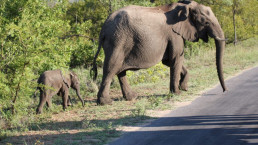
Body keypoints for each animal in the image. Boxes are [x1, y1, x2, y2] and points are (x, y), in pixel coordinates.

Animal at [91, 0, 227, 105]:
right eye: (206, 23)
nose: (225, 91)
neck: (184, 6)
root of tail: (103, 28)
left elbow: (168, 61)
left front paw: (184, 88)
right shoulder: (174, 34)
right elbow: (176, 58)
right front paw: (177, 93)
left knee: (120, 70)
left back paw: (131, 97)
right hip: (118, 40)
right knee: (111, 67)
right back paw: (106, 102)